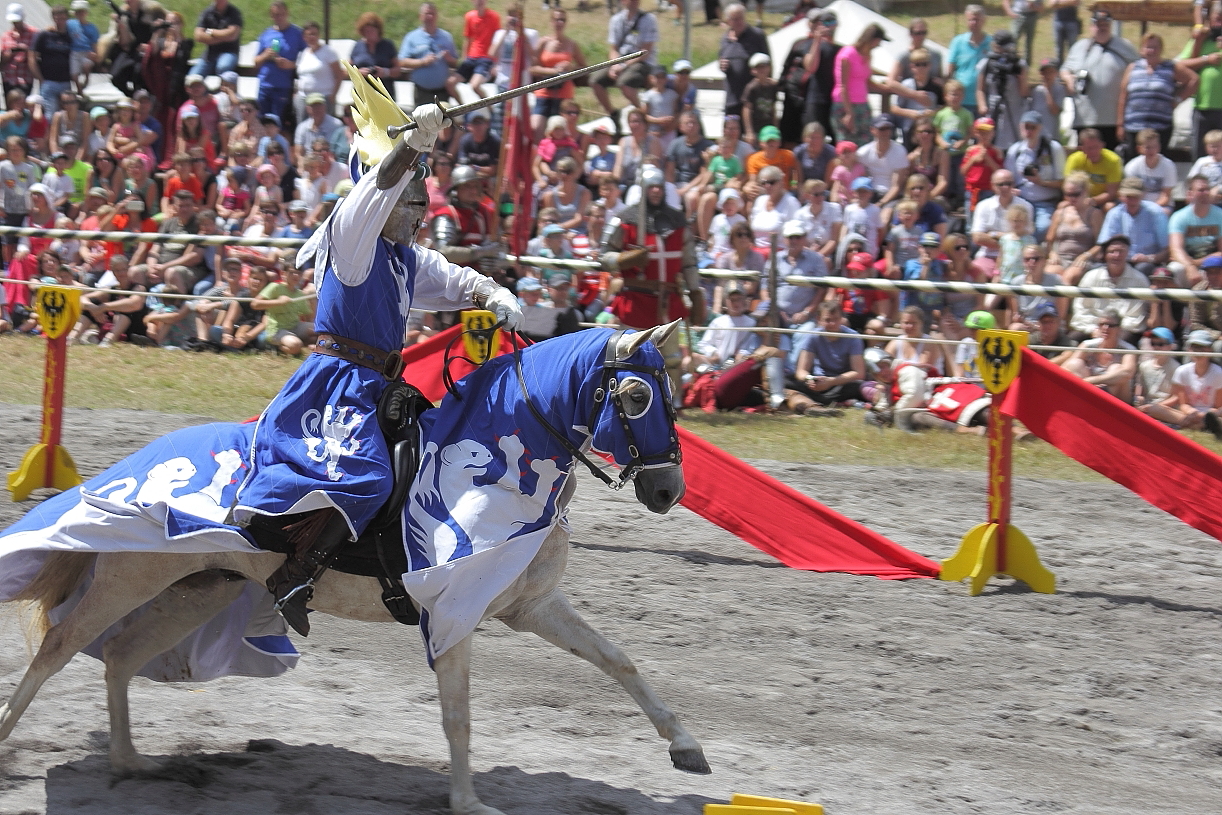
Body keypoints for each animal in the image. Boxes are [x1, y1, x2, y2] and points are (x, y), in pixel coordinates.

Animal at [0, 325, 708, 815]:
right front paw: (468, 802)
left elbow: (618, 661)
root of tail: (141, 459)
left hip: (197, 591)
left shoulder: (528, 607)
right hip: (130, 576)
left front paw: (686, 748)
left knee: (120, 654)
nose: (668, 489)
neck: (498, 474)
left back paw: (131, 764)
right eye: (637, 393)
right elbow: (458, 714)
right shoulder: (452, 612)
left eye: (672, 392)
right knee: (58, 650)